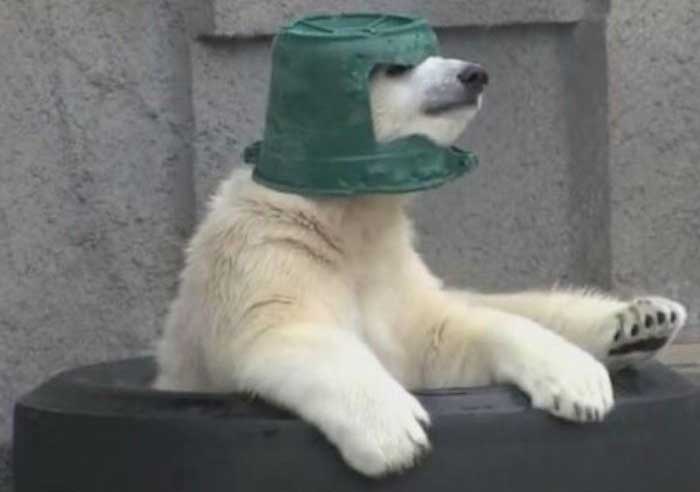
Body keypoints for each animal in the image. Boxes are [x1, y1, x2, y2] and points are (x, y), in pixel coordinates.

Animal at [154, 55, 688, 477]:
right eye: (396, 66)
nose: (473, 74)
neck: (344, 216)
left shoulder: (389, 267)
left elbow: (446, 335)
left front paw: (580, 383)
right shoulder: (267, 247)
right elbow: (281, 330)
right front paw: (396, 436)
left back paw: (643, 321)